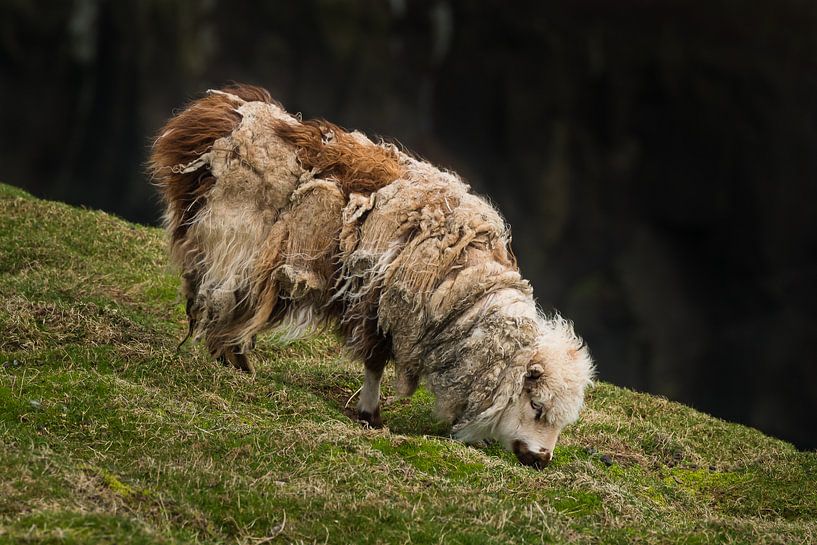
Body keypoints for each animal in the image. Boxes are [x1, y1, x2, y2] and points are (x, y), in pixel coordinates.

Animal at [150, 85, 592, 468]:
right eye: (536, 405)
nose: (541, 459)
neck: (459, 285)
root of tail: (215, 114)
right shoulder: (378, 304)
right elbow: (375, 361)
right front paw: (370, 414)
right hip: (235, 241)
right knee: (219, 296)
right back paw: (233, 358)